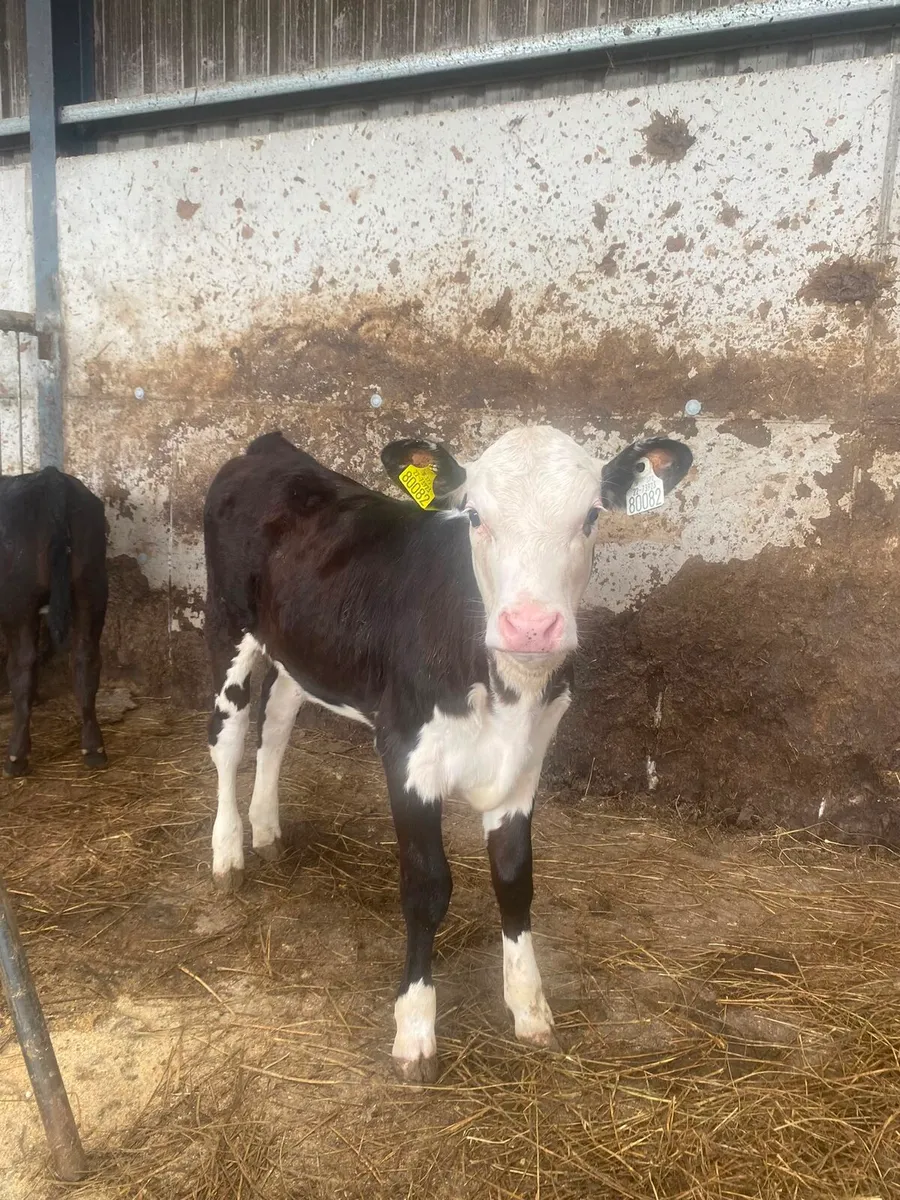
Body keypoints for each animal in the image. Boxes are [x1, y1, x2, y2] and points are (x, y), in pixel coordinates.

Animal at [0, 467, 108, 777]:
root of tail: (52, 478)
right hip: (91, 588)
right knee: (85, 658)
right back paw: (93, 747)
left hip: (17, 600)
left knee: (22, 664)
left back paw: (16, 756)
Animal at [203, 425, 692, 1082]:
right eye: (475, 516)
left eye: (591, 515)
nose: (530, 626)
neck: (506, 688)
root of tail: (271, 447)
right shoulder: (407, 754)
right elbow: (428, 888)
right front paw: (414, 1030)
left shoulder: (527, 759)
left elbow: (515, 878)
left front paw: (529, 1008)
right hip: (228, 623)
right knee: (228, 736)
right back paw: (228, 852)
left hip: (299, 648)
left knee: (277, 720)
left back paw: (267, 829)